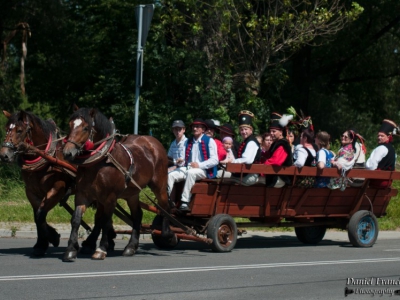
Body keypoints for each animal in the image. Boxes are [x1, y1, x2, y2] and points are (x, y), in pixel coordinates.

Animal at [0, 110, 75, 255]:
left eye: (19, 130)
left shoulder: (57, 189)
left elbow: (40, 215)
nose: (4, 155)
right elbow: (37, 217)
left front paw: (53, 237)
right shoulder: (31, 191)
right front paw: (41, 244)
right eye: (6, 129)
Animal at [61, 106, 171, 262]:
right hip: (132, 193)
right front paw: (71, 250)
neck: (99, 161)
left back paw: (166, 233)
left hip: (159, 184)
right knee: (137, 215)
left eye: (85, 128)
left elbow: (105, 222)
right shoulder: (83, 195)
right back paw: (131, 247)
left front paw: (101, 249)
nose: (67, 152)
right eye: (70, 125)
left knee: (164, 207)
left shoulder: (110, 198)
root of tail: (152, 141)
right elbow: (76, 219)